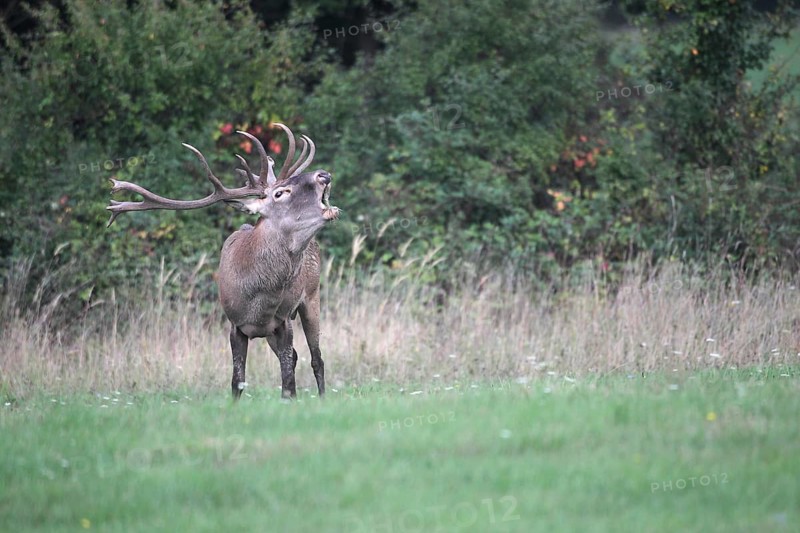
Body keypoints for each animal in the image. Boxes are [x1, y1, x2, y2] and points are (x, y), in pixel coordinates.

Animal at [106, 123, 339, 400]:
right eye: (280, 193)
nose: (323, 175)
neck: (259, 302)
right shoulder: (235, 324)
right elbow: (237, 381)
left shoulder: (282, 321)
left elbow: (288, 383)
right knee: (296, 357)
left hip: (312, 296)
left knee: (317, 359)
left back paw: (323, 399)